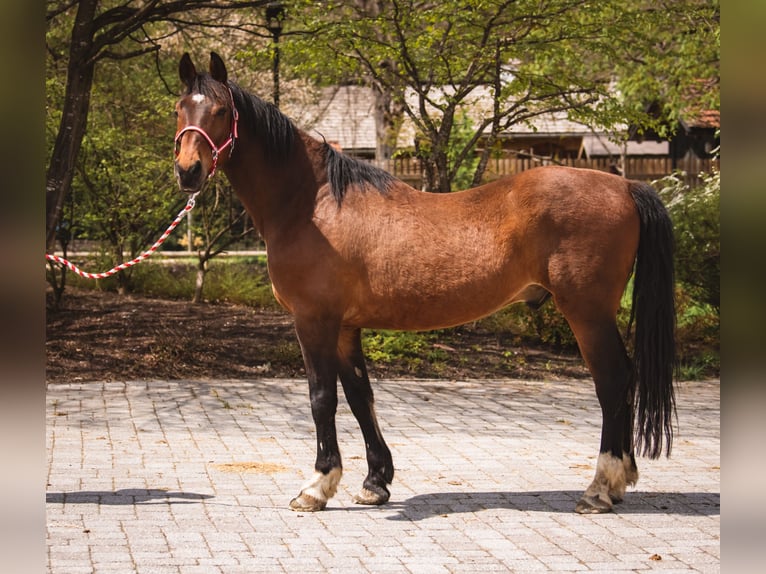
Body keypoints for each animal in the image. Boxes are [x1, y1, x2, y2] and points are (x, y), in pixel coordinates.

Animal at [173, 52, 676, 514]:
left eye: (221, 111)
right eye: (180, 107)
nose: (187, 170)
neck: (312, 203)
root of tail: (625, 186)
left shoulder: (314, 320)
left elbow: (322, 399)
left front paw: (316, 486)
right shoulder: (346, 326)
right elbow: (360, 396)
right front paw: (375, 482)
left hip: (587, 314)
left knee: (612, 380)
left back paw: (600, 488)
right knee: (622, 381)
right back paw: (619, 481)